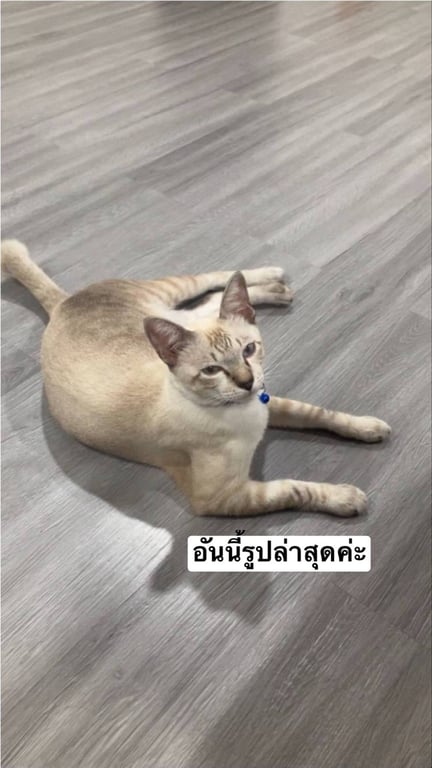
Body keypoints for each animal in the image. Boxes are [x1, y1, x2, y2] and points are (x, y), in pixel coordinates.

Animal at [1, 239, 391, 517]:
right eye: (212, 370)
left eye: (250, 349)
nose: (247, 382)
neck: (241, 412)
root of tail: (63, 303)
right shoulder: (222, 497)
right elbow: (295, 488)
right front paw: (346, 497)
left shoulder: (272, 402)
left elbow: (323, 414)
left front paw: (370, 428)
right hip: (170, 306)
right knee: (211, 295)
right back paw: (277, 286)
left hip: (173, 300)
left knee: (217, 285)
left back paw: (273, 280)